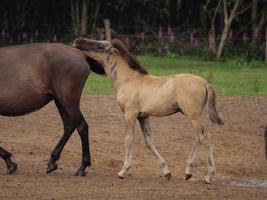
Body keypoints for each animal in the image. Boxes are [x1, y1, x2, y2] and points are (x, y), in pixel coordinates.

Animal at [0, 43, 104, 176]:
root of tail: (81, 55)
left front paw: (10, 163)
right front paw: (10, 163)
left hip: (68, 101)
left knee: (81, 126)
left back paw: (82, 167)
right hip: (60, 101)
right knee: (69, 126)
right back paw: (52, 162)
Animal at [73, 37, 224, 183]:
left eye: (100, 46)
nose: (77, 41)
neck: (128, 80)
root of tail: (205, 83)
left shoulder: (130, 114)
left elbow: (128, 139)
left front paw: (123, 171)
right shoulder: (143, 116)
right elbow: (149, 142)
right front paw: (166, 172)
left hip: (193, 115)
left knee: (203, 136)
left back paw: (202, 175)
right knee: (205, 136)